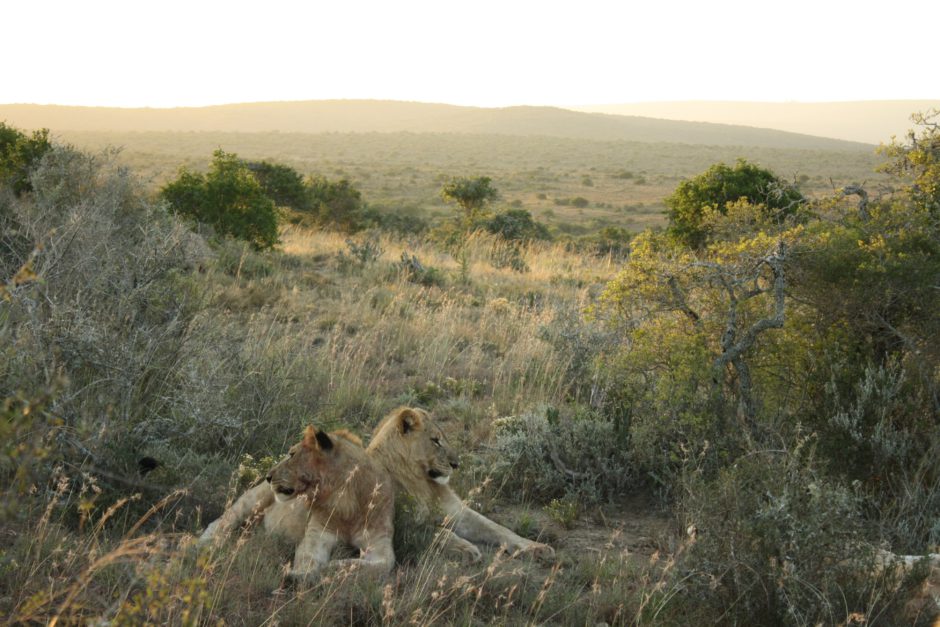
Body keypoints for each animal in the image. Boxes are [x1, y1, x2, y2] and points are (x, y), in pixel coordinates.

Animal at [198, 424, 392, 580]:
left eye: (292, 454)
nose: (268, 476)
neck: (346, 502)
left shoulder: (379, 541)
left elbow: (384, 566)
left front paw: (335, 567)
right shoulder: (319, 532)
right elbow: (308, 556)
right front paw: (299, 576)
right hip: (251, 501)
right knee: (220, 522)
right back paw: (201, 546)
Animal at [366, 408, 560, 564]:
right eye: (435, 440)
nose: (456, 464)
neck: (423, 483)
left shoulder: (456, 511)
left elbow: (496, 528)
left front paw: (535, 547)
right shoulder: (398, 525)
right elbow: (437, 531)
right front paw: (465, 548)